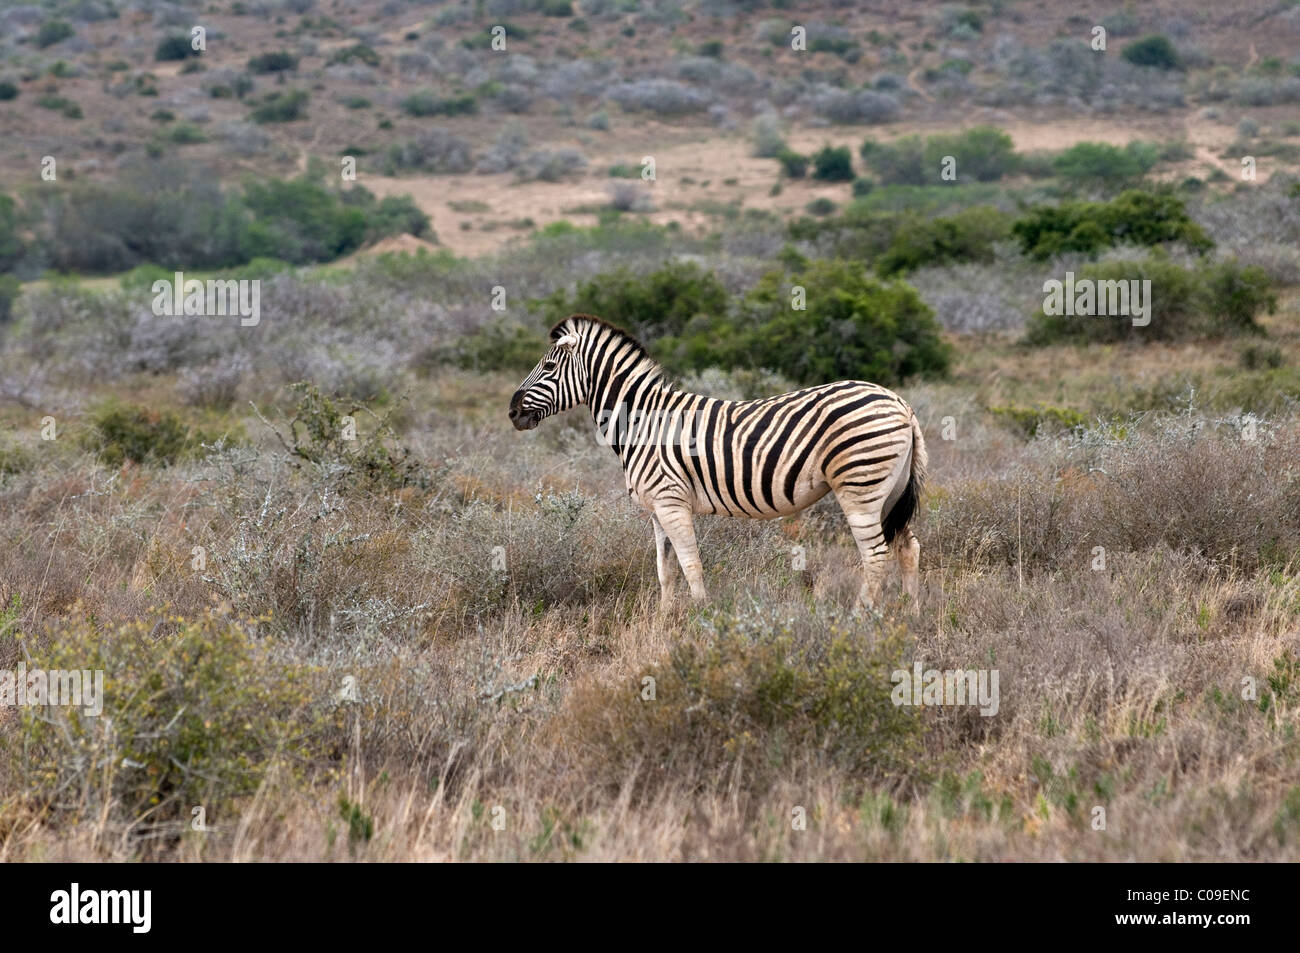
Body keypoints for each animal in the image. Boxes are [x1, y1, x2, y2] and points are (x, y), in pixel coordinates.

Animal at [508, 314, 927, 612]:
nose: (512, 412)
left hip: (860, 486)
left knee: (876, 555)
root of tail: (901, 403)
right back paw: (910, 615)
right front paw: (664, 620)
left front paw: (701, 618)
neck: (643, 422)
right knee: (908, 547)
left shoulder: (671, 501)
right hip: (889, 490)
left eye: (549, 368)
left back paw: (860, 616)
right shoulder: (656, 508)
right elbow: (665, 570)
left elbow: (690, 564)